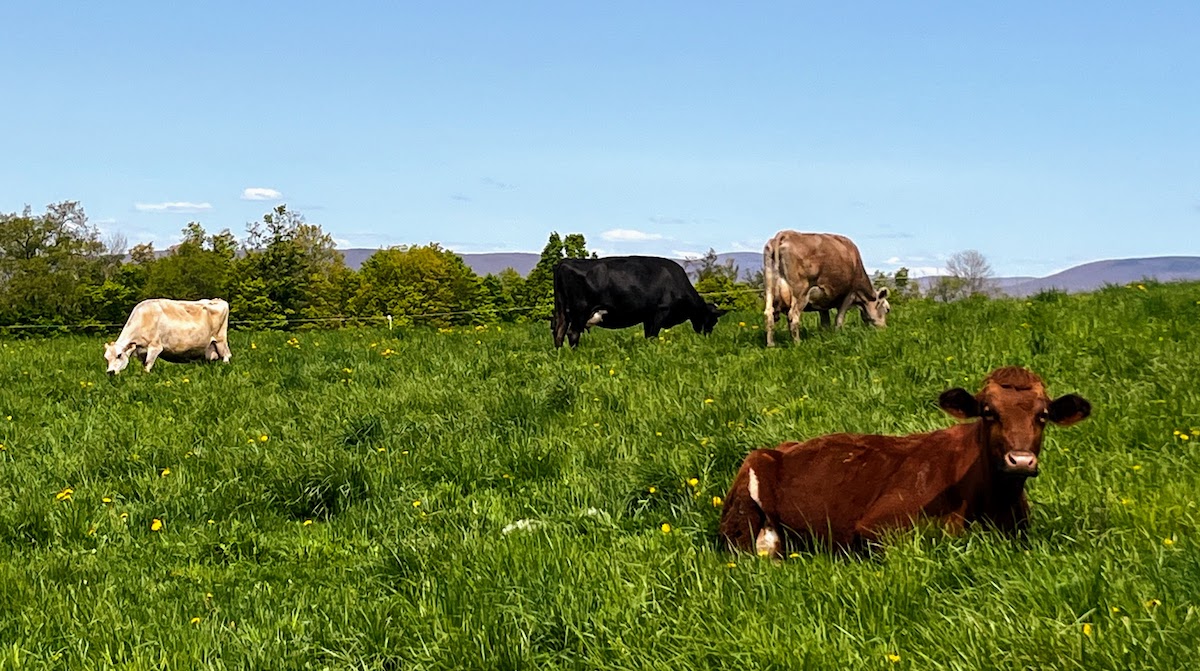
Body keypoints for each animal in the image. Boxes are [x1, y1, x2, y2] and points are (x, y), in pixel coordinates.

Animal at [105, 297, 234, 374]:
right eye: (106, 358)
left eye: (119, 355)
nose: (110, 372)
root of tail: (217, 300)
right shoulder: (142, 352)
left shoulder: (155, 347)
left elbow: (147, 365)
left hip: (220, 340)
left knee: (227, 355)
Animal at [552, 256, 720, 348]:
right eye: (713, 320)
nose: (707, 337)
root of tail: (565, 262)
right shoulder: (661, 311)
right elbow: (653, 335)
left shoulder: (648, 316)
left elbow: (648, 335)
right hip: (580, 310)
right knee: (572, 333)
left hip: (562, 311)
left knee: (559, 333)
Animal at [715, 367, 1094, 556]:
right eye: (989, 412)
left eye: (1042, 415)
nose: (1020, 461)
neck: (993, 503)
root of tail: (781, 446)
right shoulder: (876, 527)